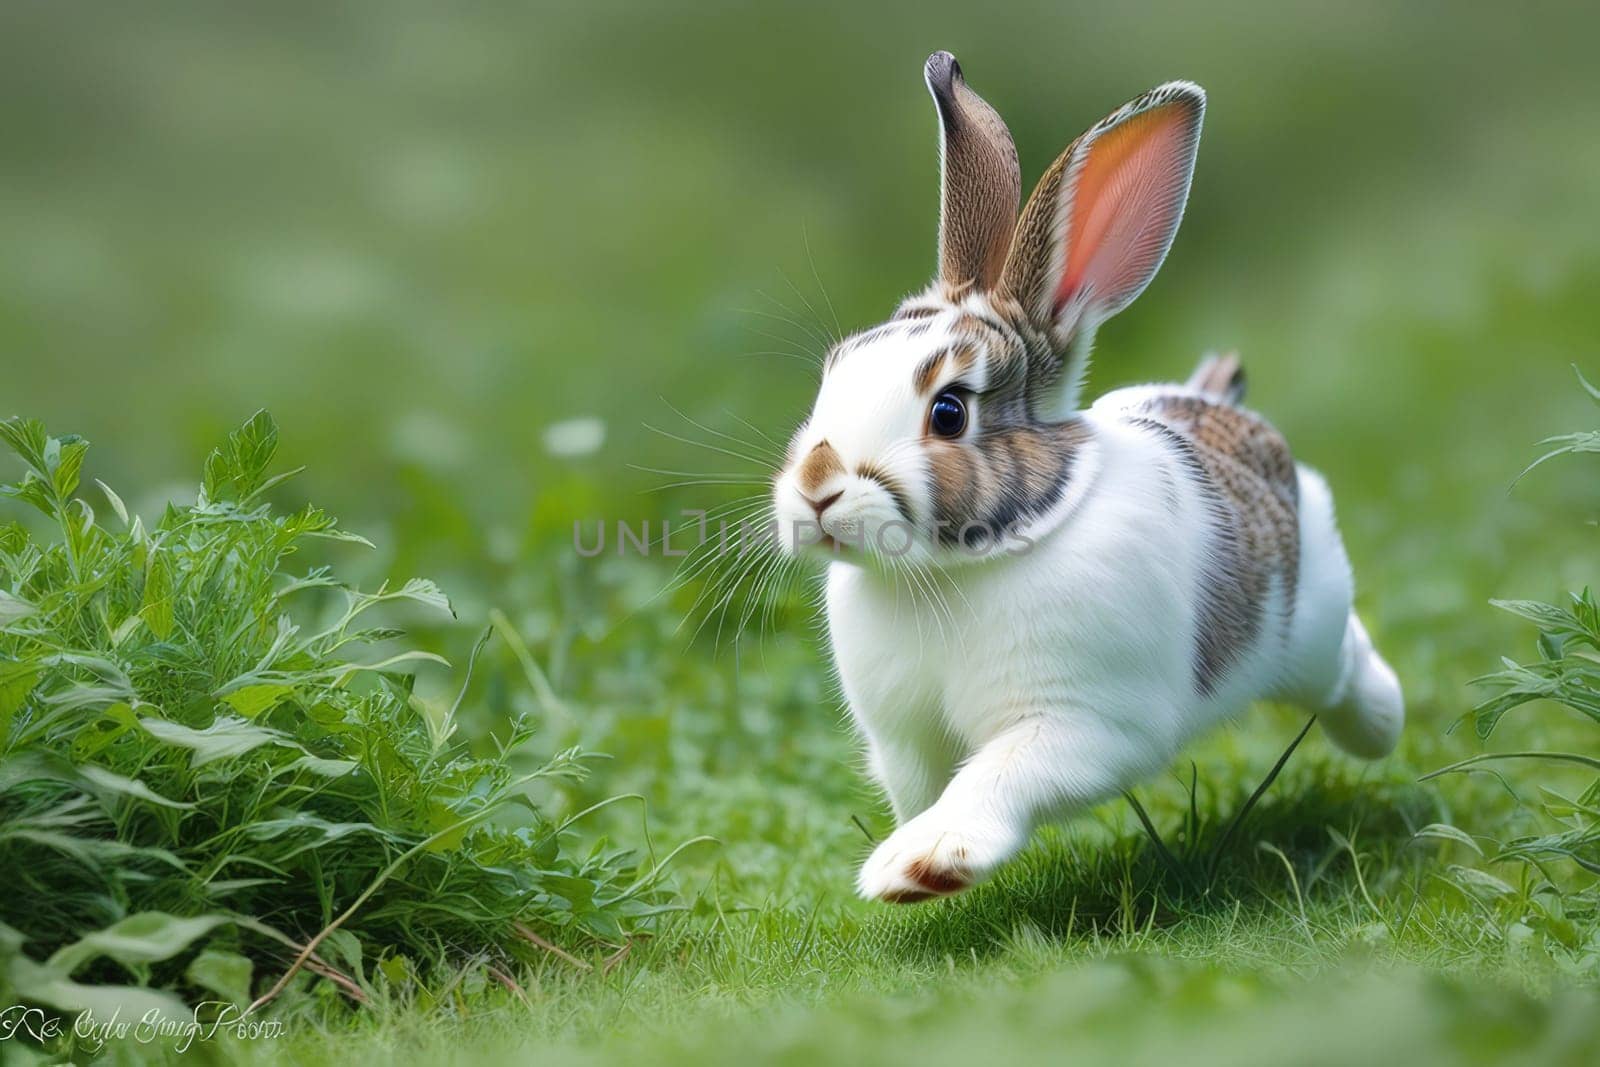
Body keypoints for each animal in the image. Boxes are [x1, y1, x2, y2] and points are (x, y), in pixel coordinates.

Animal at [764, 49, 1401, 902]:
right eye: (832, 374)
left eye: (949, 412)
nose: (815, 490)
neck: (959, 568)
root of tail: (1213, 398)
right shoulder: (904, 739)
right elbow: (925, 785)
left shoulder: (1081, 724)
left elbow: (994, 776)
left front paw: (918, 865)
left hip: (1310, 623)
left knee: (1346, 669)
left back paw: (1382, 725)